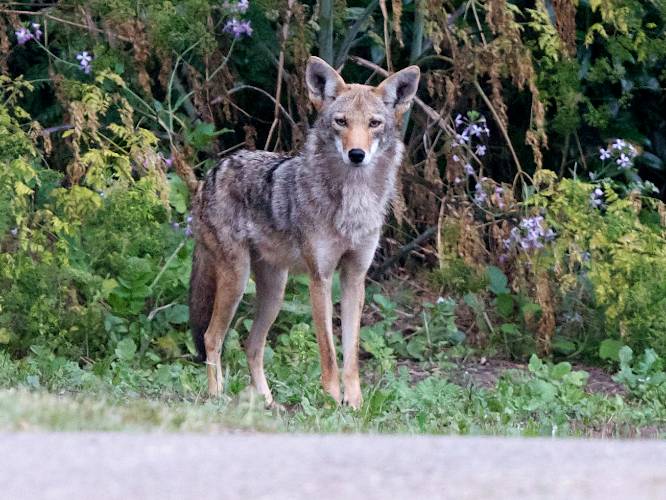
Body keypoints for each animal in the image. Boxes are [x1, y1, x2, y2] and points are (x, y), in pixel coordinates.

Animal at [189, 56, 420, 409]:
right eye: (341, 122)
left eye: (374, 123)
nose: (356, 154)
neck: (353, 203)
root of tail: (211, 173)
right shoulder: (320, 278)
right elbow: (329, 352)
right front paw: (331, 402)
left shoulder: (355, 277)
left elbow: (351, 355)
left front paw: (355, 405)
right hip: (236, 281)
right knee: (211, 338)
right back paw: (217, 398)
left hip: (274, 292)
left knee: (251, 345)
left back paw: (268, 403)